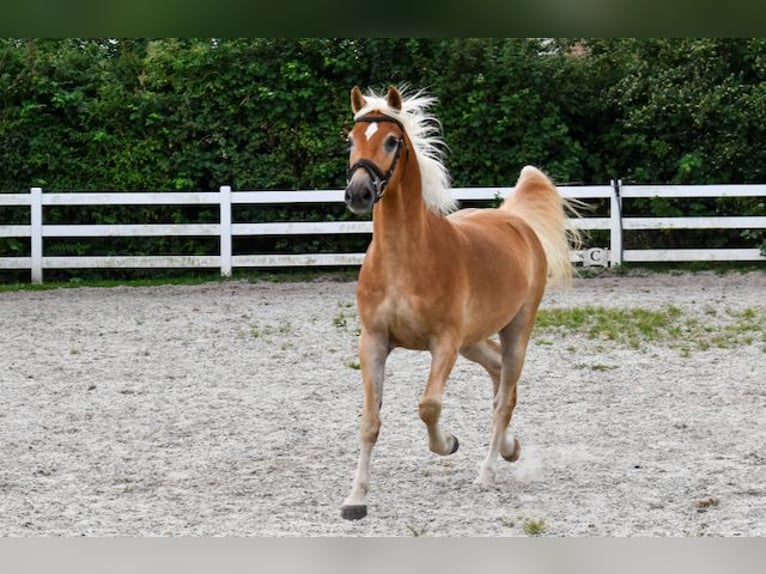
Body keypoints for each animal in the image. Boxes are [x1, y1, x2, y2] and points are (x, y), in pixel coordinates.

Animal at [341, 85, 581, 520]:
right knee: (499, 374)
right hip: (474, 340)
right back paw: (510, 447)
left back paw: (487, 472)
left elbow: (429, 406)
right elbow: (370, 421)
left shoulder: (444, 344)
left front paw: (448, 443)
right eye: (350, 140)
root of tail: (515, 220)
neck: (404, 260)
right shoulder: (374, 342)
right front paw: (355, 498)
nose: (359, 194)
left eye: (392, 140)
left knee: (503, 396)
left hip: (516, 330)